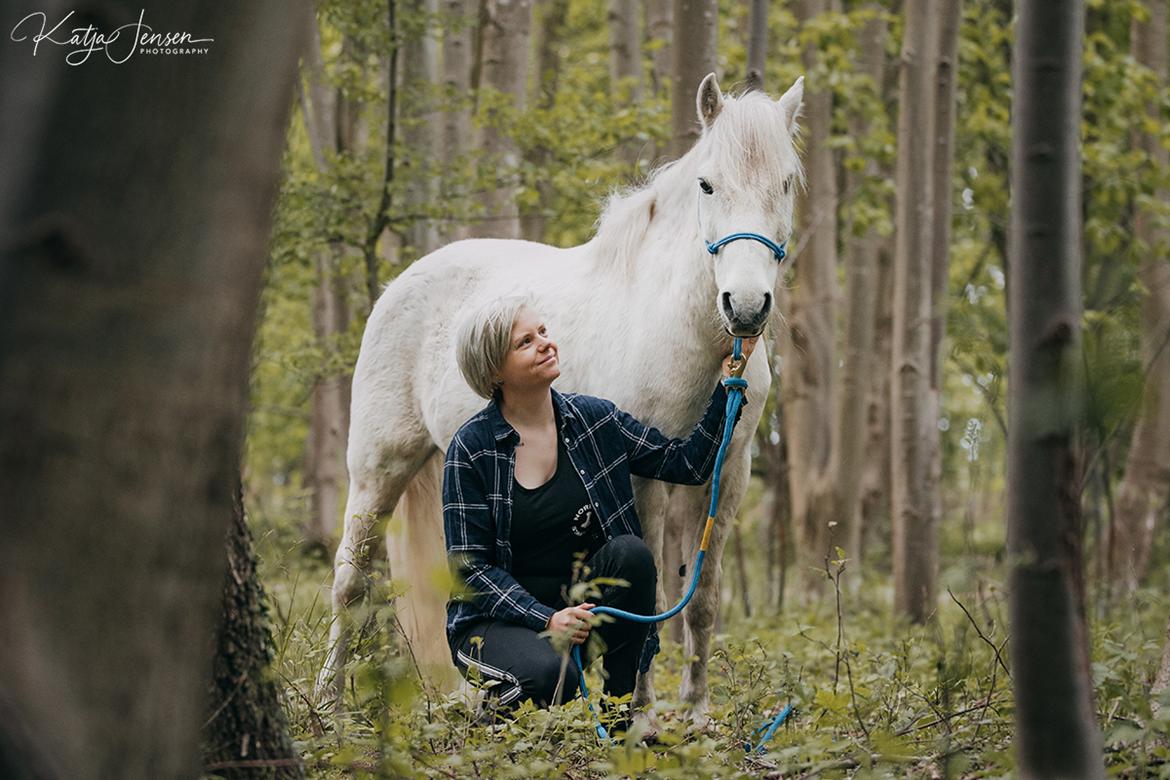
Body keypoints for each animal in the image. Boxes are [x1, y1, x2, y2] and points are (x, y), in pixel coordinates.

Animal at [320, 74, 804, 725]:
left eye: (785, 182)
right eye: (708, 184)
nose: (746, 307)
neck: (677, 333)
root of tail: (403, 282)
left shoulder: (726, 474)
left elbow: (702, 598)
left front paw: (698, 713)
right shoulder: (642, 478)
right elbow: (648, 593)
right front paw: (641, 718)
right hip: (379, 467)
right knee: (349, 581)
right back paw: (327, 706)